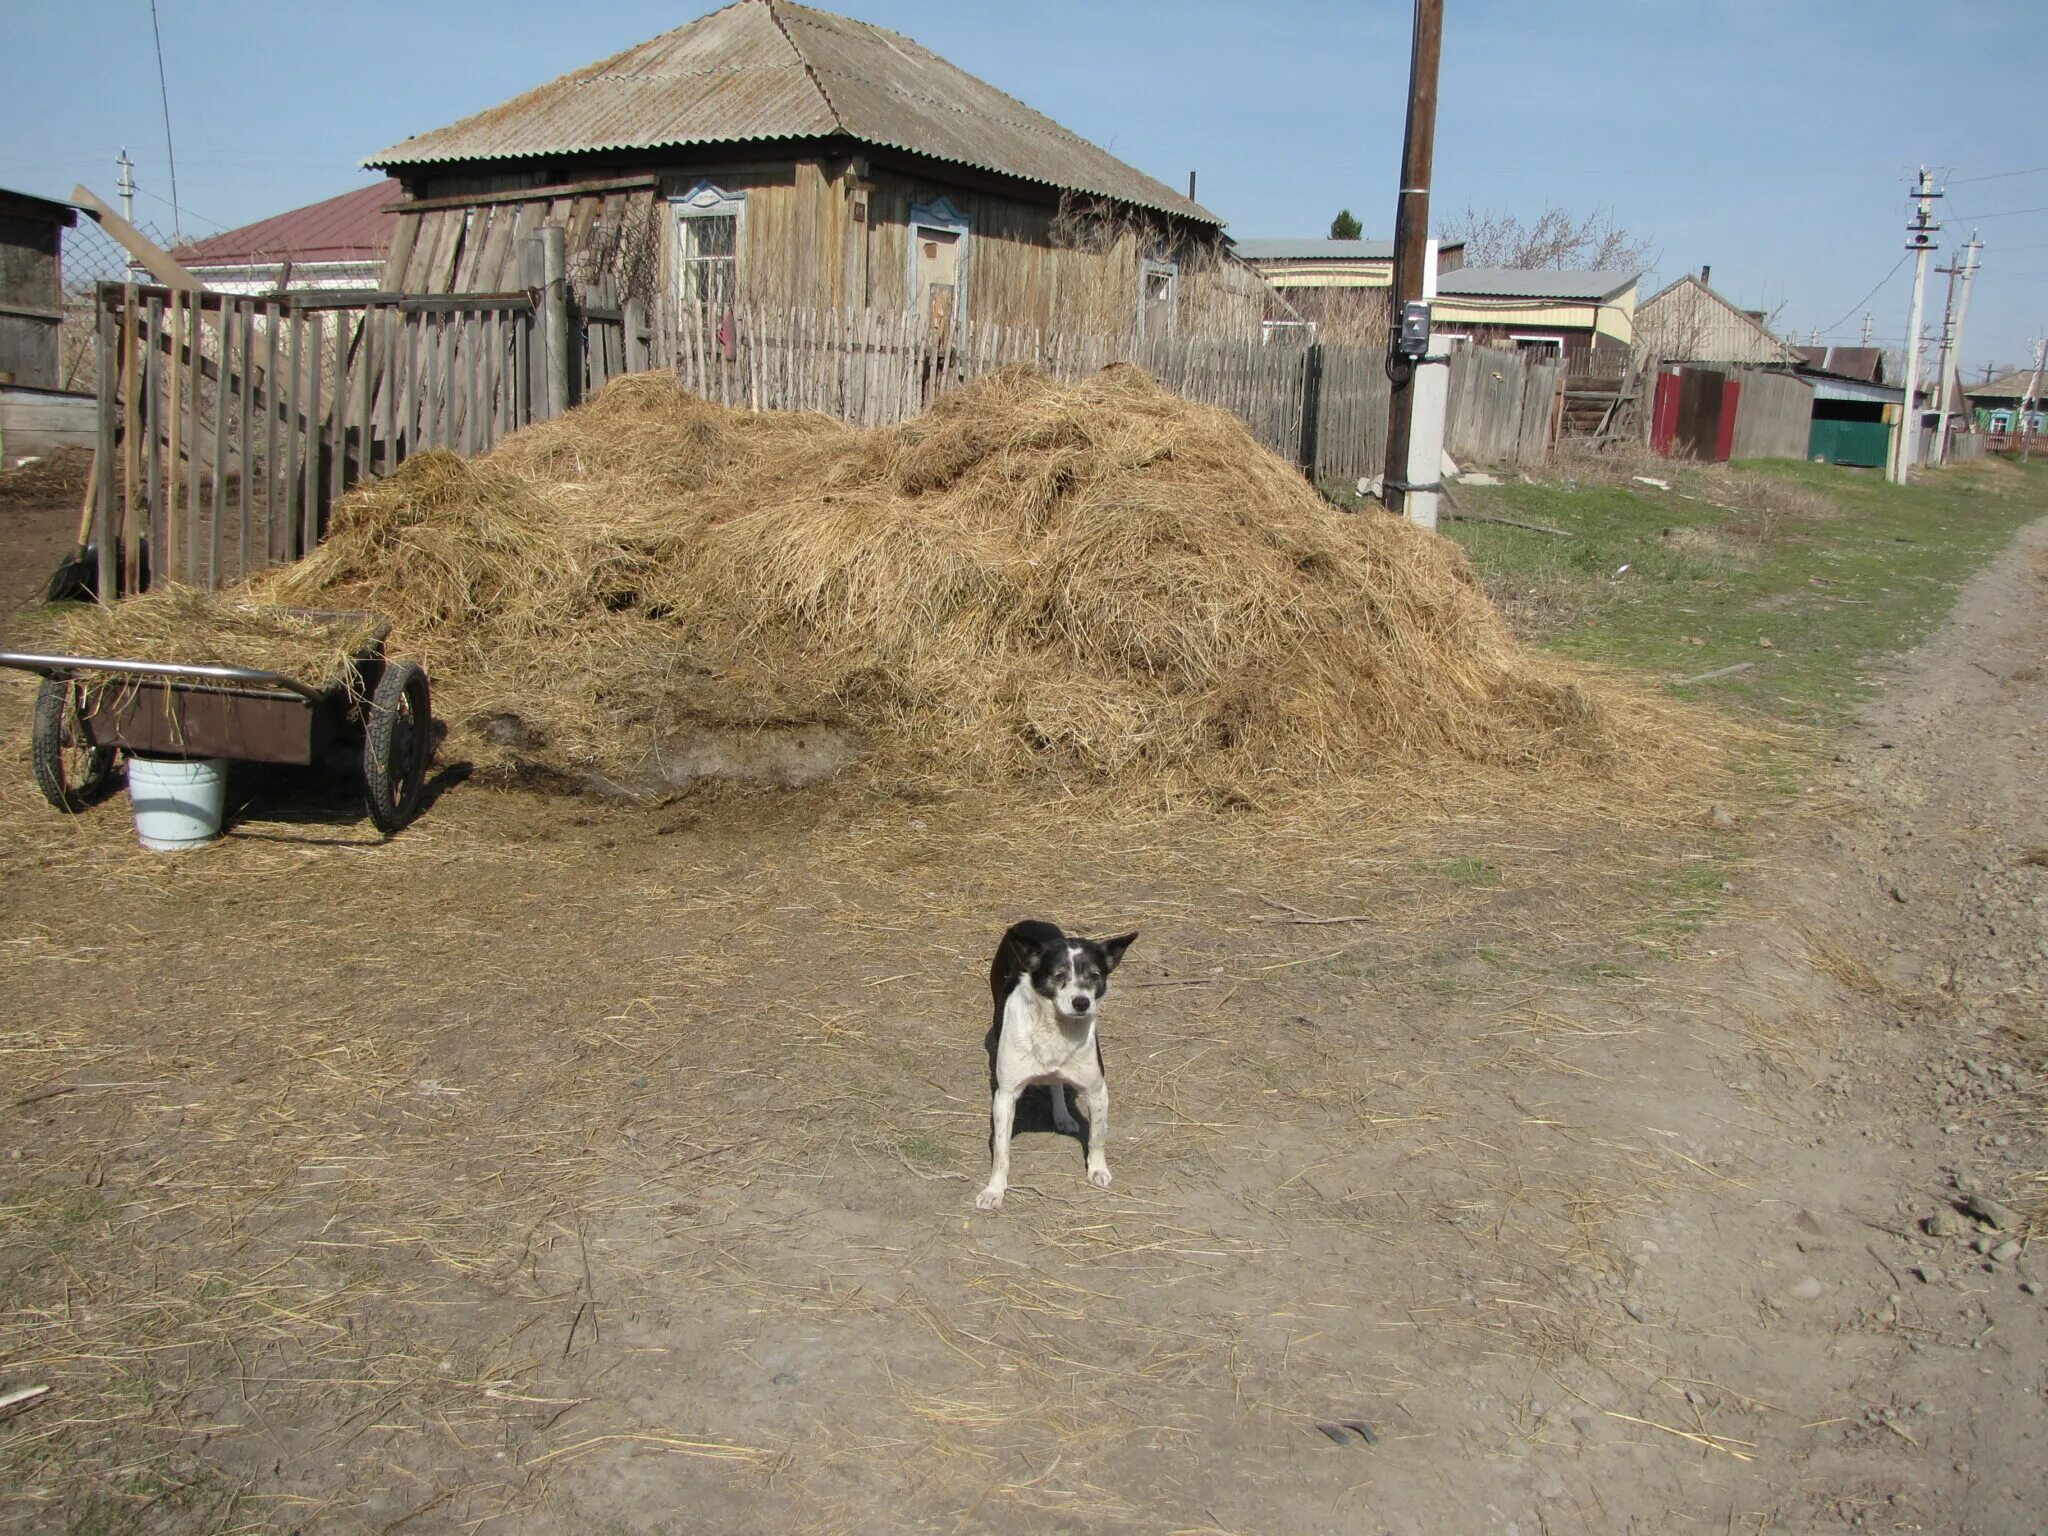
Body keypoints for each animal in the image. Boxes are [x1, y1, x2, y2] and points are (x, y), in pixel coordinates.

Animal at [974, 925, 1138, 1212]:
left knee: (1057, 1082)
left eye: (1095, 976)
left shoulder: (1097, 1091)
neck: (1057, 1029)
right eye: (1058, 975)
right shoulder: (1005, 1097)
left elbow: (1097, 1136)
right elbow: (1002, 1152)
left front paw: (1097, 1169)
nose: (1082, 1002)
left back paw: (1062, 1116)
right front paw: (994, 1190)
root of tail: (1031, 921)